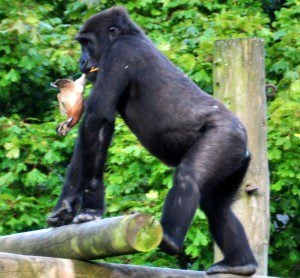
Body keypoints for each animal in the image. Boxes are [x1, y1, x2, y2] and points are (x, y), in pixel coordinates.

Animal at [47, 6, 258, 276]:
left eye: (87, 43)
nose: (81, 62)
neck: (128, 35)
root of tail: (245, 144)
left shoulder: (120, 53)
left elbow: (98, 121)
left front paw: (90, 209)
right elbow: (86, 143)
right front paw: (66, 205)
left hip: (227, 137)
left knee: (188, 177)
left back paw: (169, 238)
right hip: (237, 160)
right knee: (216, 207)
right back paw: (240, 262)